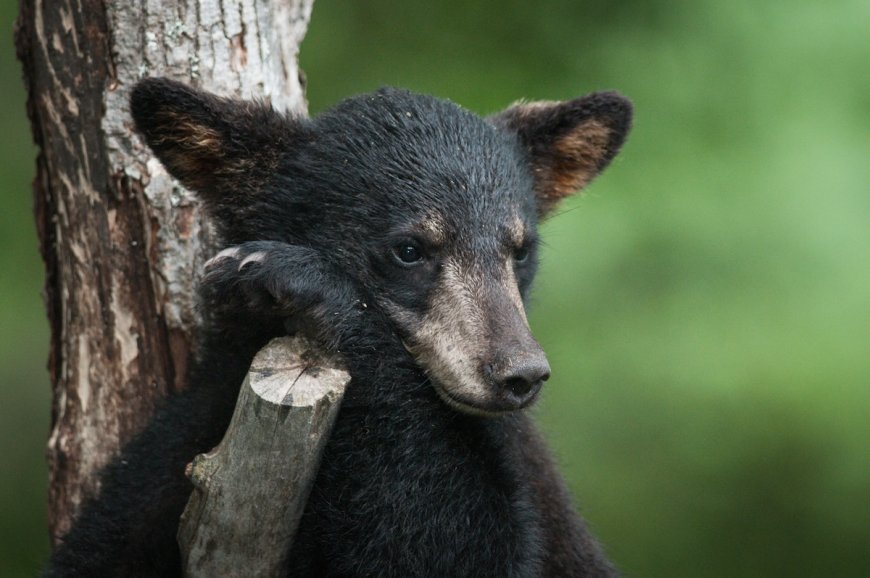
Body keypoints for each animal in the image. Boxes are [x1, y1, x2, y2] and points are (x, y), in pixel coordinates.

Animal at [45, 78, 632, 577]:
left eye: (521, 249)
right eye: (409, 249)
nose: (519, 372)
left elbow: (454, 546)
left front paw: (304, 280)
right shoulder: (180, 449)